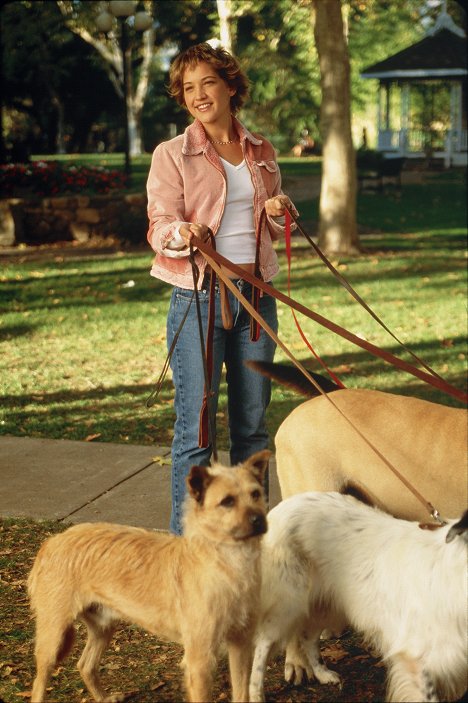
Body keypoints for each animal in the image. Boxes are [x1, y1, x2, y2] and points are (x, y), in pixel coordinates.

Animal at [28, 452, 270, 703]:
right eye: (227, 501)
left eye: (256, 494)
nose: (259, 520)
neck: (227, 563)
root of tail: (52, 541)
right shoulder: (200, 660)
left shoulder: (241, 645)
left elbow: (242, 692)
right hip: (53, 636)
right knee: (39, 682)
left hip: (103, 626)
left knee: (85, 665)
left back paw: (103, 698)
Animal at [250, 492, 466, 703]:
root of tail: (281, 507)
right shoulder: (416, 658)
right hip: (285, 606)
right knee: (262, 647)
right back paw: (255, 694)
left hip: (327, 604)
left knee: (308, 637)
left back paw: (322, 674)